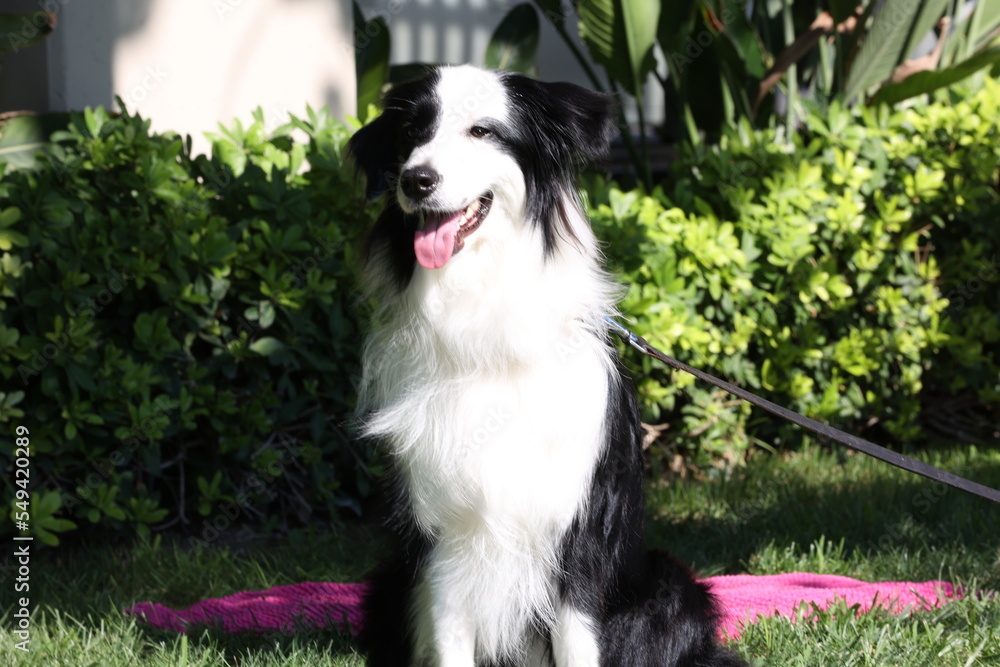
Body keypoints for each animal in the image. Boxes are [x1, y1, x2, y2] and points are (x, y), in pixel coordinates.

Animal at [348, 66, 748, 667]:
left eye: (482, 131)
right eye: (411, 132)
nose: (417, 180)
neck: (482, 318)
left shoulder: (575, 530)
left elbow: (577, 640)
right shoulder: (441, 535)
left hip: (670, 585)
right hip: (389, 583)